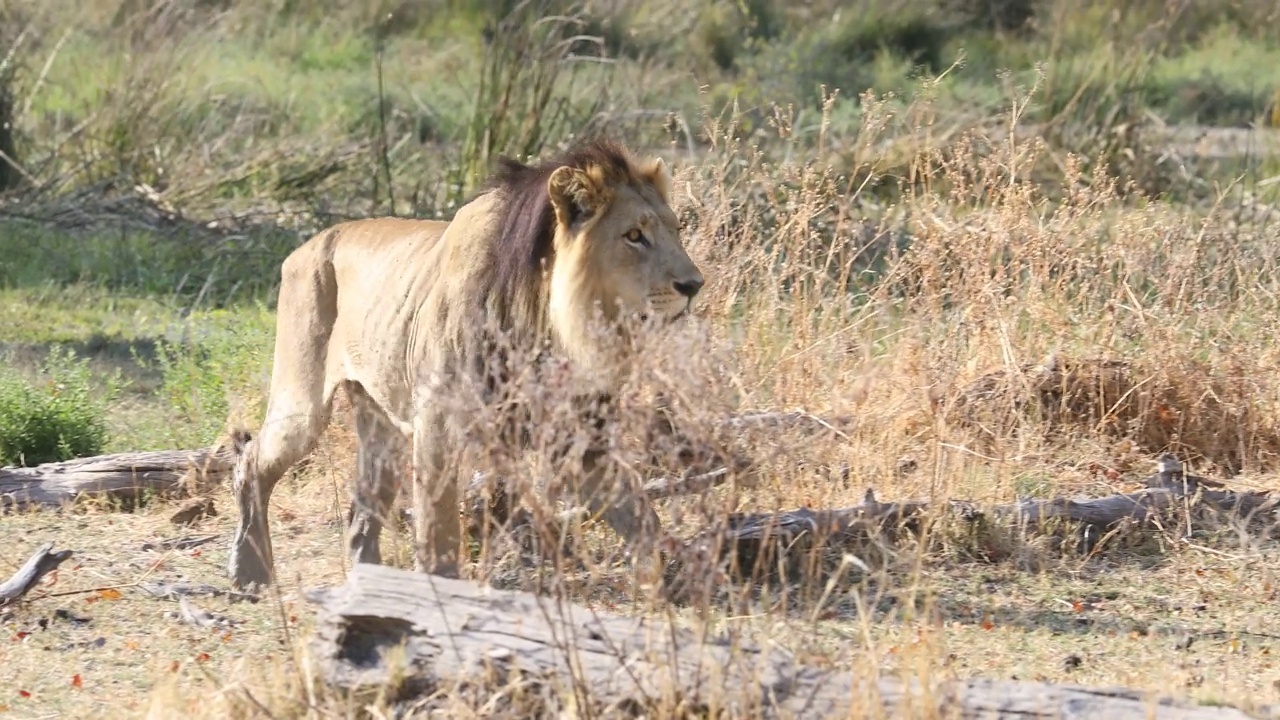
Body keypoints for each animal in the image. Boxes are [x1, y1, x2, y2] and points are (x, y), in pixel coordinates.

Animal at [232, 135, 711, 589]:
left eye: (675, 230)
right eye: (634, 236)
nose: (694, 285)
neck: (548, 320)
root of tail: (308, 244)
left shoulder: (580, 433)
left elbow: (639, 515)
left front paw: (664, 586)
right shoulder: (438, 420)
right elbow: (439, 524)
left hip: (380, 422)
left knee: (362, 508)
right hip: (303, 405)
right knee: (252, 460)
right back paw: (249, 571)